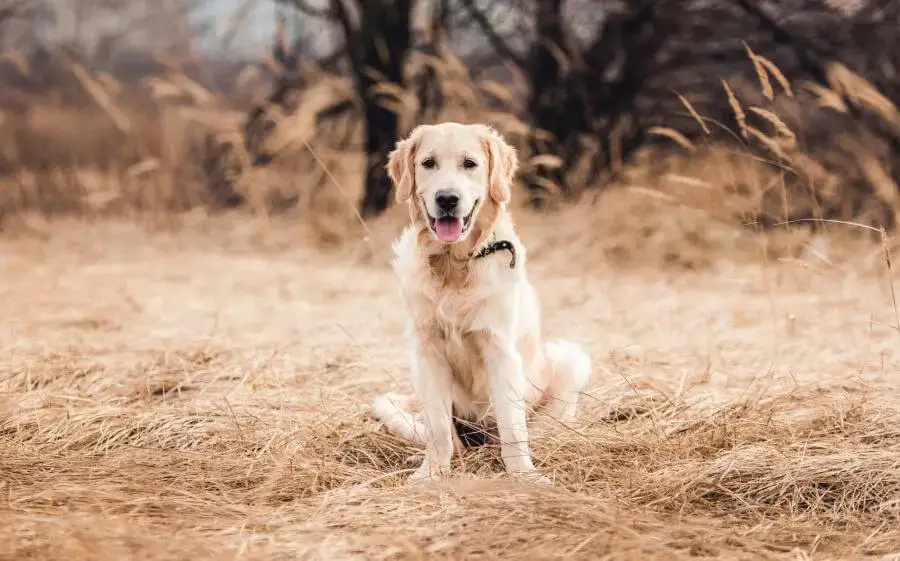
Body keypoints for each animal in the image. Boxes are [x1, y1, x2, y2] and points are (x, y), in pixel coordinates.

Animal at [370, 123, 596, 486]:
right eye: (428, 163)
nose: (447, 199)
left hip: (571, 359)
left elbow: (513, 427)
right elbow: (437, 427)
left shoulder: (500, 348)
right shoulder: (427, 350)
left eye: (470, 164)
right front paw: (431, 474)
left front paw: (524, 476)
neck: (454, 264)